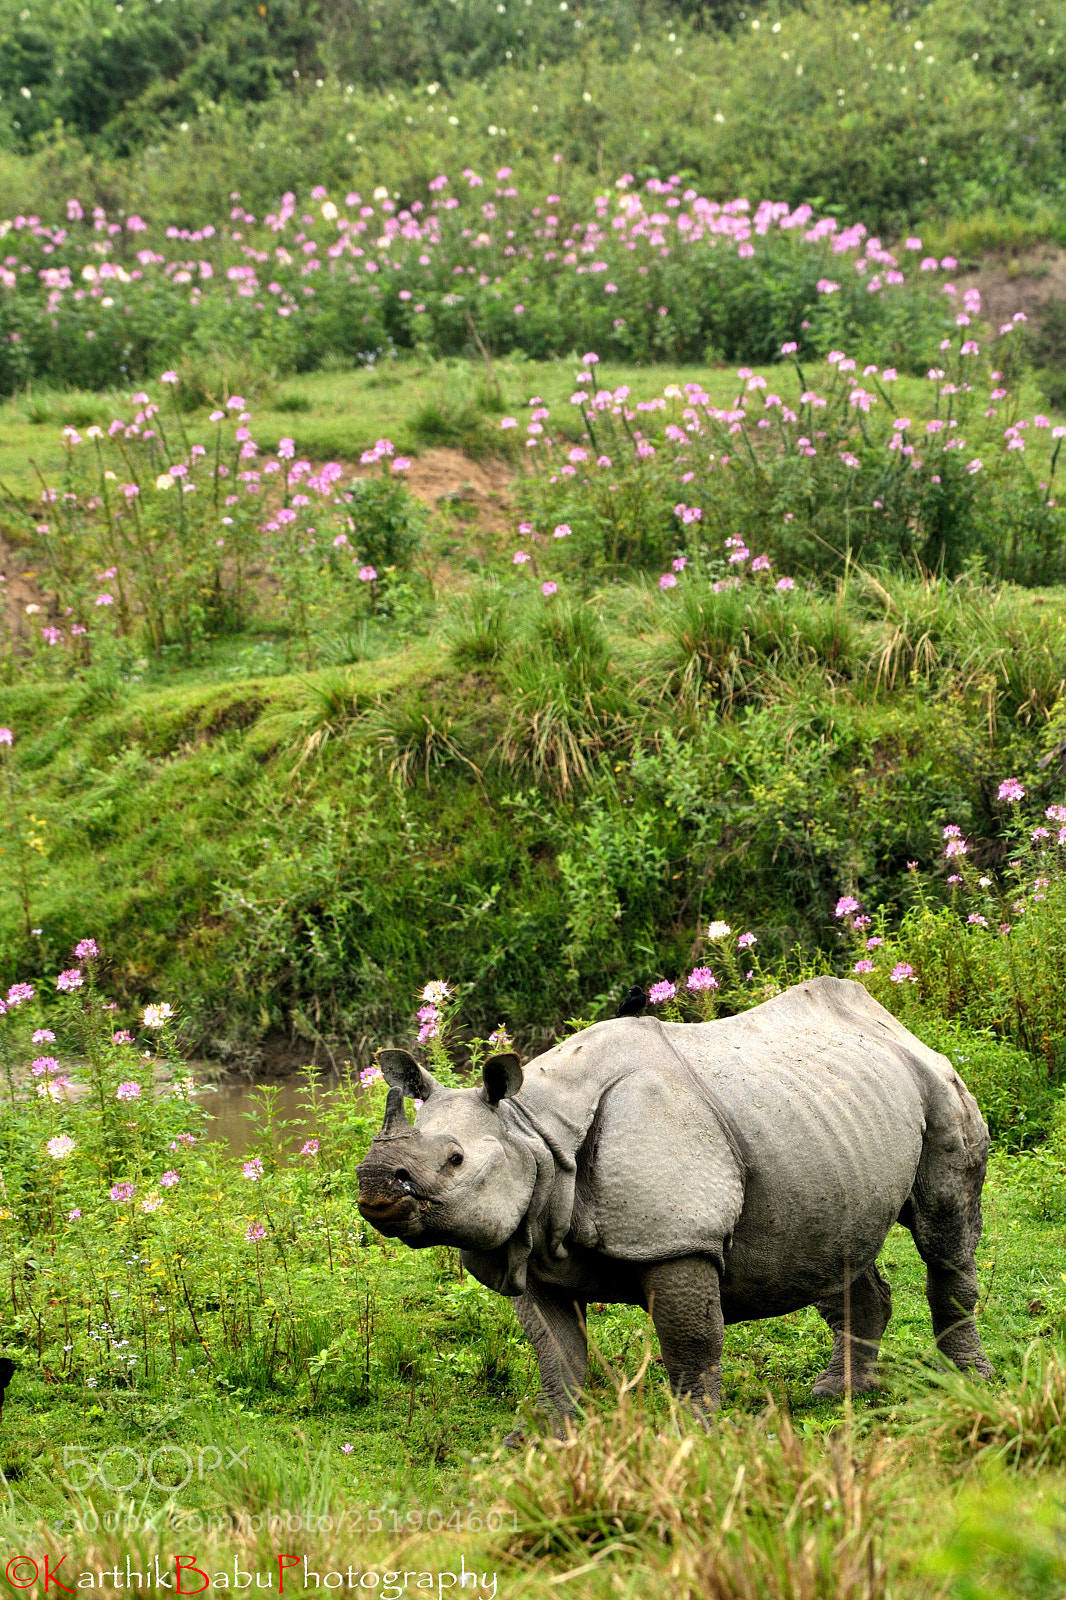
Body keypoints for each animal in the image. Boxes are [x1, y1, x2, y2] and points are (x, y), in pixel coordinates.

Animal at [356, 976, 994, 1428]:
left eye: (455, 1160)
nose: (373, 1185)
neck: (533, 1133)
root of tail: (892, 1021)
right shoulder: (528, 1244)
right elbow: (555, 1350)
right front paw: (543, 1438)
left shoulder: (677, 1239)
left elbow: (690, 1341)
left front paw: (693, 1433)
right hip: (828, 1123)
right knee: (832, 1243)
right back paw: (837, 1394)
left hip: (937, 1082)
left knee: (943, 1236)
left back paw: (968, 1384)